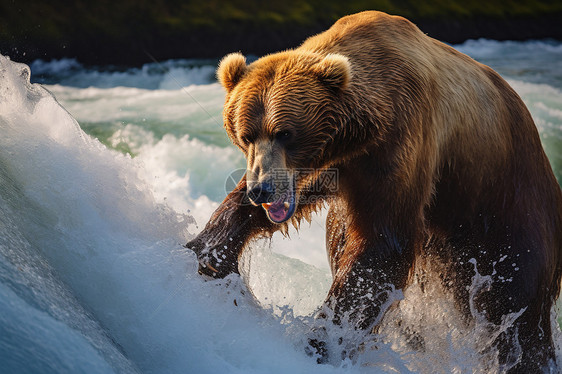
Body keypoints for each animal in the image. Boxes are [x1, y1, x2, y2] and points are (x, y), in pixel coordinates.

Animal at [186, 10, 560, 372]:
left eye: (285, 133)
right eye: (245, 134)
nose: (261, 189)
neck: (359, 133)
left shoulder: (402, 143)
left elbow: (380, 246)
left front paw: (323, 339)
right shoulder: (332, 168)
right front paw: (210, 255)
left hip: (503, 212)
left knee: (515, 310)